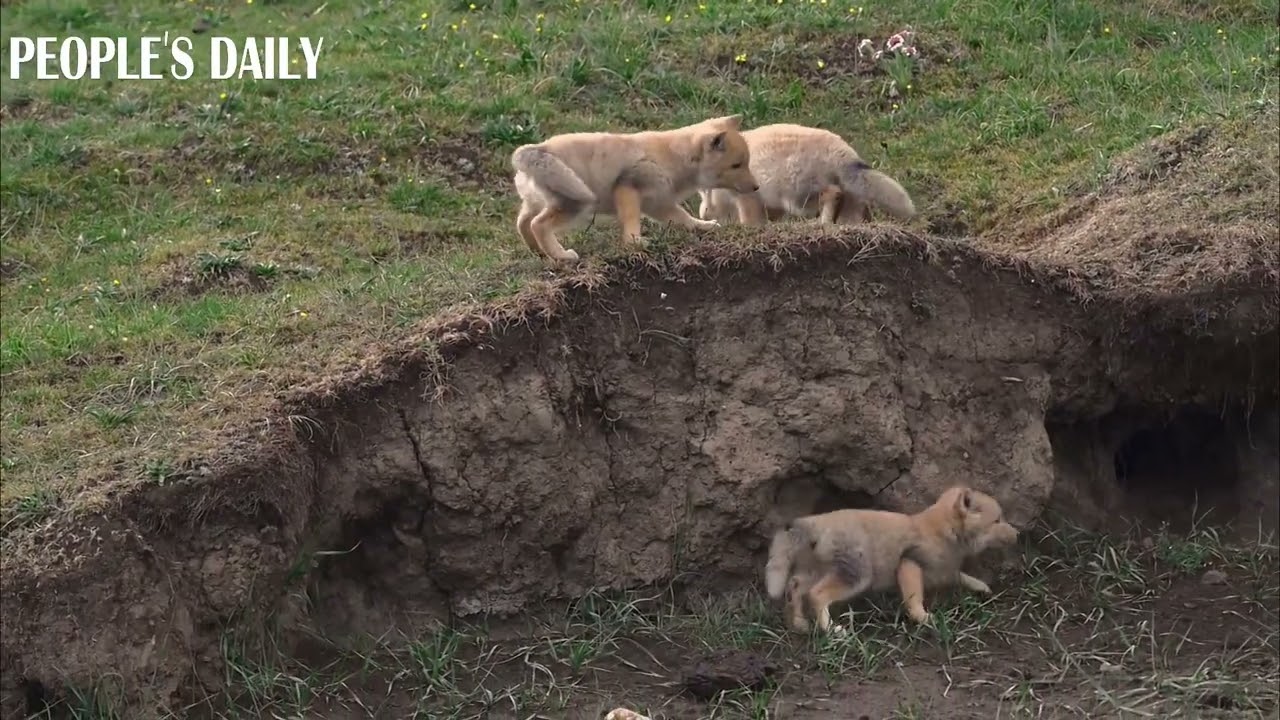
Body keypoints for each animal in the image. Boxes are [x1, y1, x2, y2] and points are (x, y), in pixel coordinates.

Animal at [509, 115, 760, 264]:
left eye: (746, 163)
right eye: (736, 165)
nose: (756, 187)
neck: (672, 156)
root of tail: (537, 148)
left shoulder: (660, 204)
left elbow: (685, 219)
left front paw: (704, 226)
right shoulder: (628, 189)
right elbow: (632, 223)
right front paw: (635, 243)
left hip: (537, 204)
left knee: (523, 224)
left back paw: (539, 252)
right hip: (574, 205)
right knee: (538, 225)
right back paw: (561, 255)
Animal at [696, 123, 915, 228]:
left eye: (704, 201)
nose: (702, 215)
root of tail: (844, 152)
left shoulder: (749, 198)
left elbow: (752, 219)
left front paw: (748, 228)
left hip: (797, 194)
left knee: (832, 194)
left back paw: (822, 223)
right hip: (849, 193)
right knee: (855, 208)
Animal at [764, 485, 1019, 635]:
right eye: (997, 520)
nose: (1017, 535)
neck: (943, 532)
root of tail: (816, 520)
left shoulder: (943, 570)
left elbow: (962, 576)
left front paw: (981, 586)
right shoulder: (909, 563)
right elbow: (914, 601)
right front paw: (924, 619)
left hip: (815, 572)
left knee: (794, 588)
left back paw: (799, 624)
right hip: (857, 577)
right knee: (816, 595)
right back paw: (831, 630)